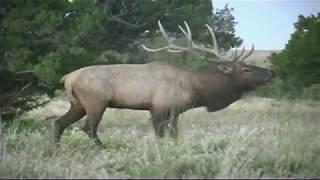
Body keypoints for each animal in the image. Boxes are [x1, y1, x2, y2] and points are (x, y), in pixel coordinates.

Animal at [52, 20, 276, 146]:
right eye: (246, 69)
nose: (272, 72)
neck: (196, 89)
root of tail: (67, 78)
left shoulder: (174, 111)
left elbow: (174, 136)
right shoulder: (158, 107)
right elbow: (160, 136)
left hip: (78, 103)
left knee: (58, 123)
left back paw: (55, 150)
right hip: (95, 102)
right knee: (88, 128)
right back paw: (102, 148)